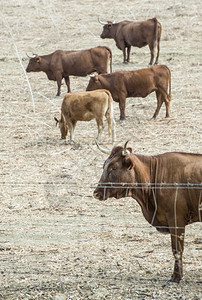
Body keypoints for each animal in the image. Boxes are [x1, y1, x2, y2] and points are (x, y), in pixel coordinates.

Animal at [93, 142, 202, 284]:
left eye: (113, 168)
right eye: (104, 166)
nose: (96, 193)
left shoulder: (176, 220)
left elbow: (177, 250)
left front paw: (176, 277)